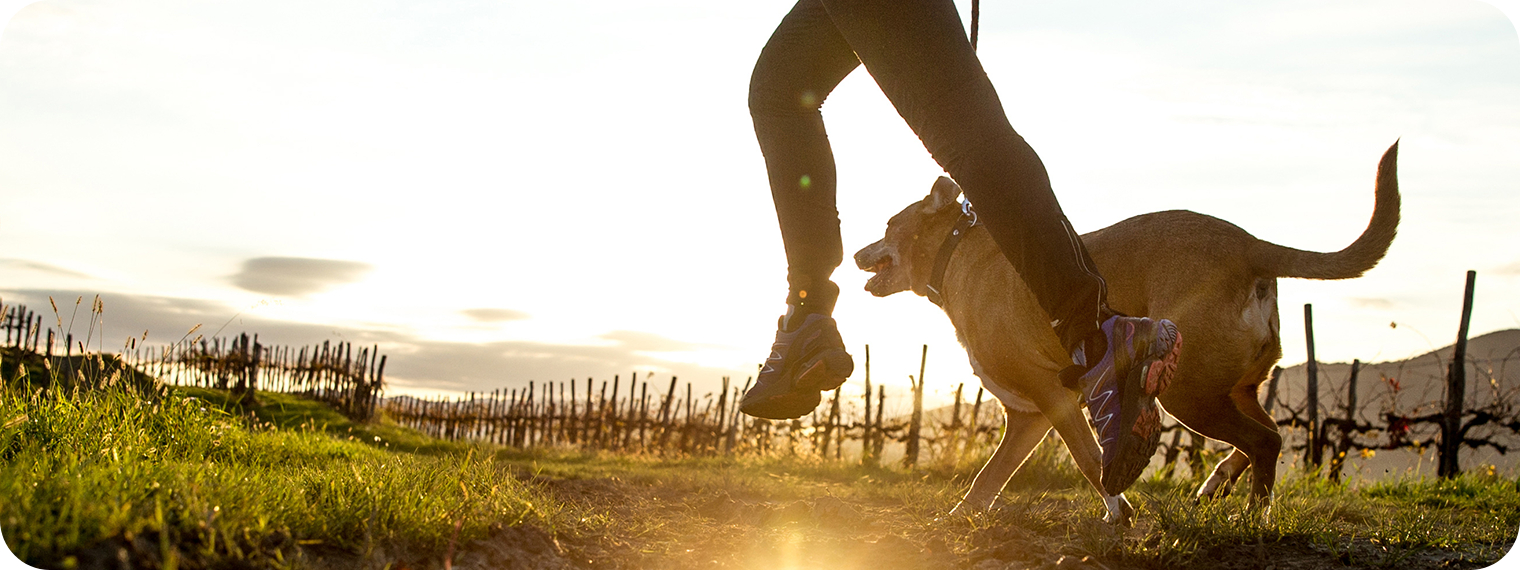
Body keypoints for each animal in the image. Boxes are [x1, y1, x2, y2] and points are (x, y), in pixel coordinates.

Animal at [857, 142, 1398, 522]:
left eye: (888, 225)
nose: (857, 253)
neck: (956, 250)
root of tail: (1250, 246)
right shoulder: (1027, 416)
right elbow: (988, 479)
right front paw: (959, 518)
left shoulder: (1053, 395)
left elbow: (1088, 458)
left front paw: (1118, 510)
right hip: (1233, 386)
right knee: (1270, 434)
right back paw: (1218, 483)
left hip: (1186, 392)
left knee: (1263, 441)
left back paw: (1252, 518)